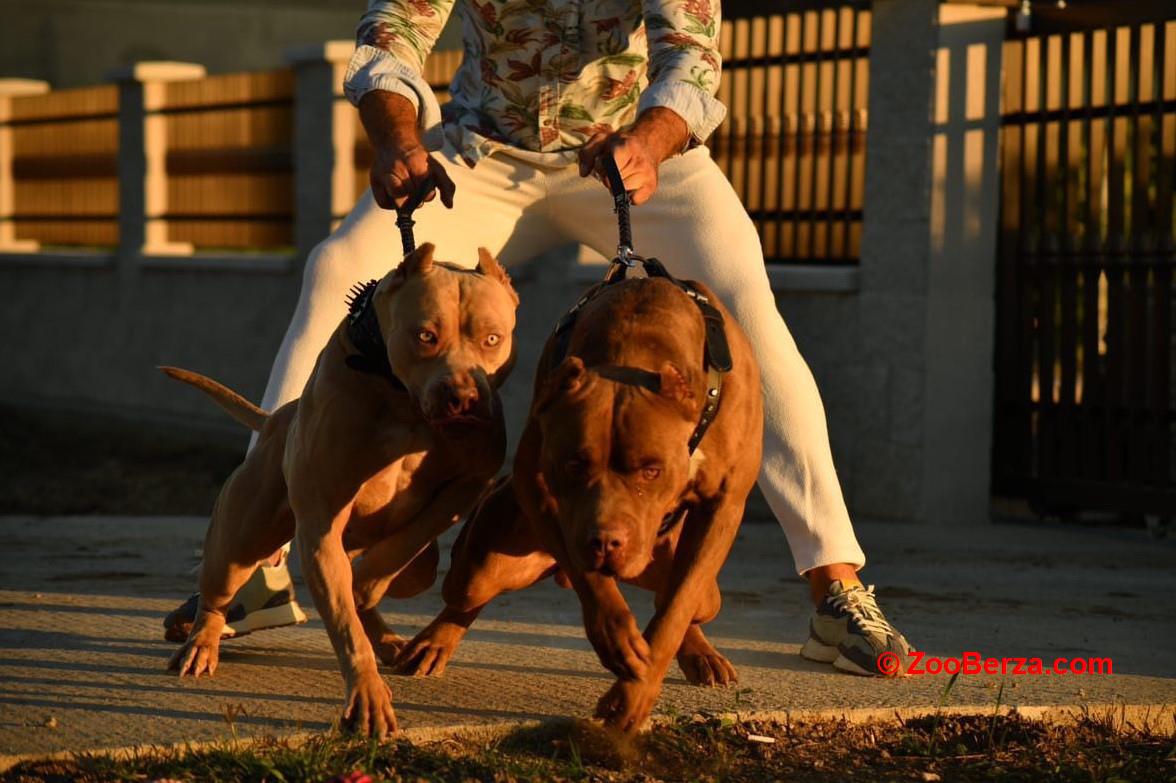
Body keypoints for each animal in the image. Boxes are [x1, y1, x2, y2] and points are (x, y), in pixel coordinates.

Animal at [163, 241, 517, 733]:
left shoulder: (471, 479)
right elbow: (346, 624)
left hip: (418, 570)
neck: (399, 397)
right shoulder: (321, 530)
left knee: (401, 575)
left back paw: (388, 637)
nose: (463, 397)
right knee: (217, 595)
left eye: (492, 339)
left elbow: (408, 539)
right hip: (239, 543)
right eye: (425, 335)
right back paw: (201, 644)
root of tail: (276, 419)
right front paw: (367, 698)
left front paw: (368, 583)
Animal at [395, 272, 762, 733]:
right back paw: (432, 642)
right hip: (484, 563)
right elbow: (595, 585)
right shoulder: (538, 487)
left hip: (690, 577)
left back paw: (700, 653)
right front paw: (617, 639)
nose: (605, 544)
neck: (638, 347)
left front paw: (633, 696)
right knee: (466, 593)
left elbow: (676, 608)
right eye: (574, 464)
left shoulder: (722, 507)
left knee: (685, 599)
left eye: (652, 470)